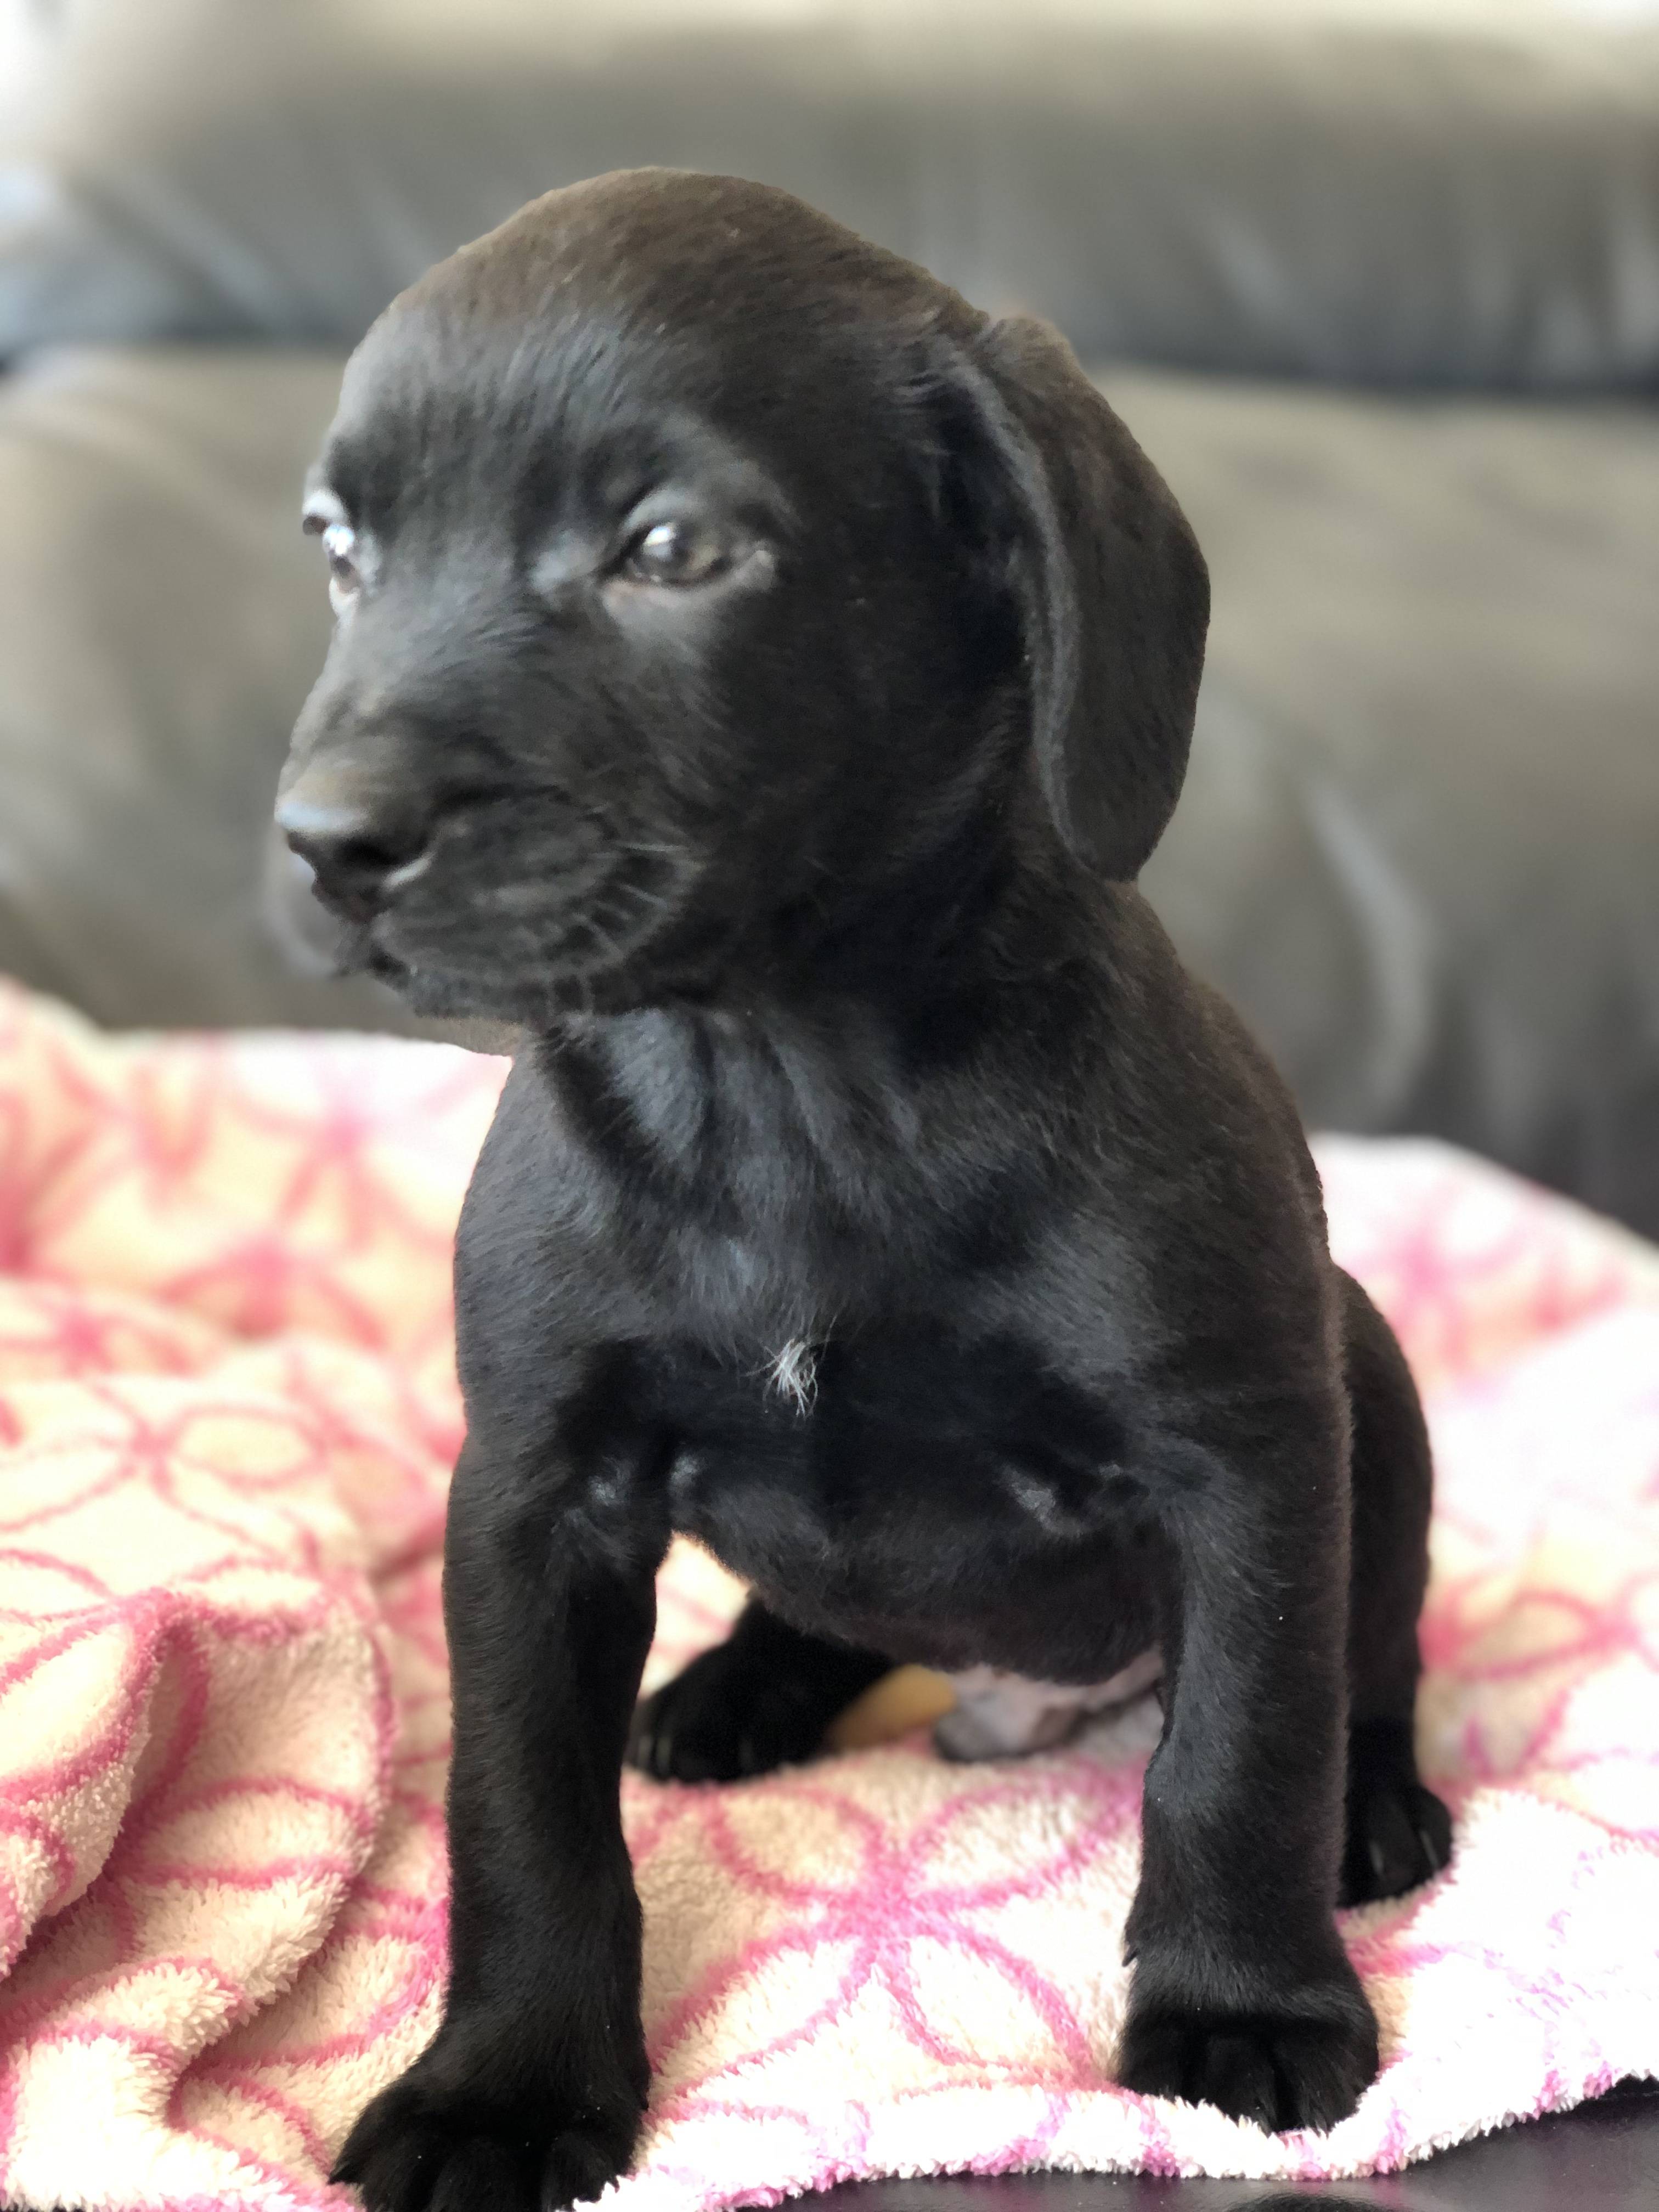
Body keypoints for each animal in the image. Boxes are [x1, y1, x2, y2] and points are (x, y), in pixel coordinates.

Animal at [273, 169, 1451, 2212]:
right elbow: (522, 1817)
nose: (326, 843)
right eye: (342, 552)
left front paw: (1242, 2007)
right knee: (808, 1609)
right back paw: (728, 1696)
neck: (786, 1084)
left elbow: (1241, 1749)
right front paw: (505, 2086)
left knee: (1366, 1661)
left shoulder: (1240, 1456)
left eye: (670, 548)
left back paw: (1376, 1806)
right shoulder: (534, 1496)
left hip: (1364, 1378)